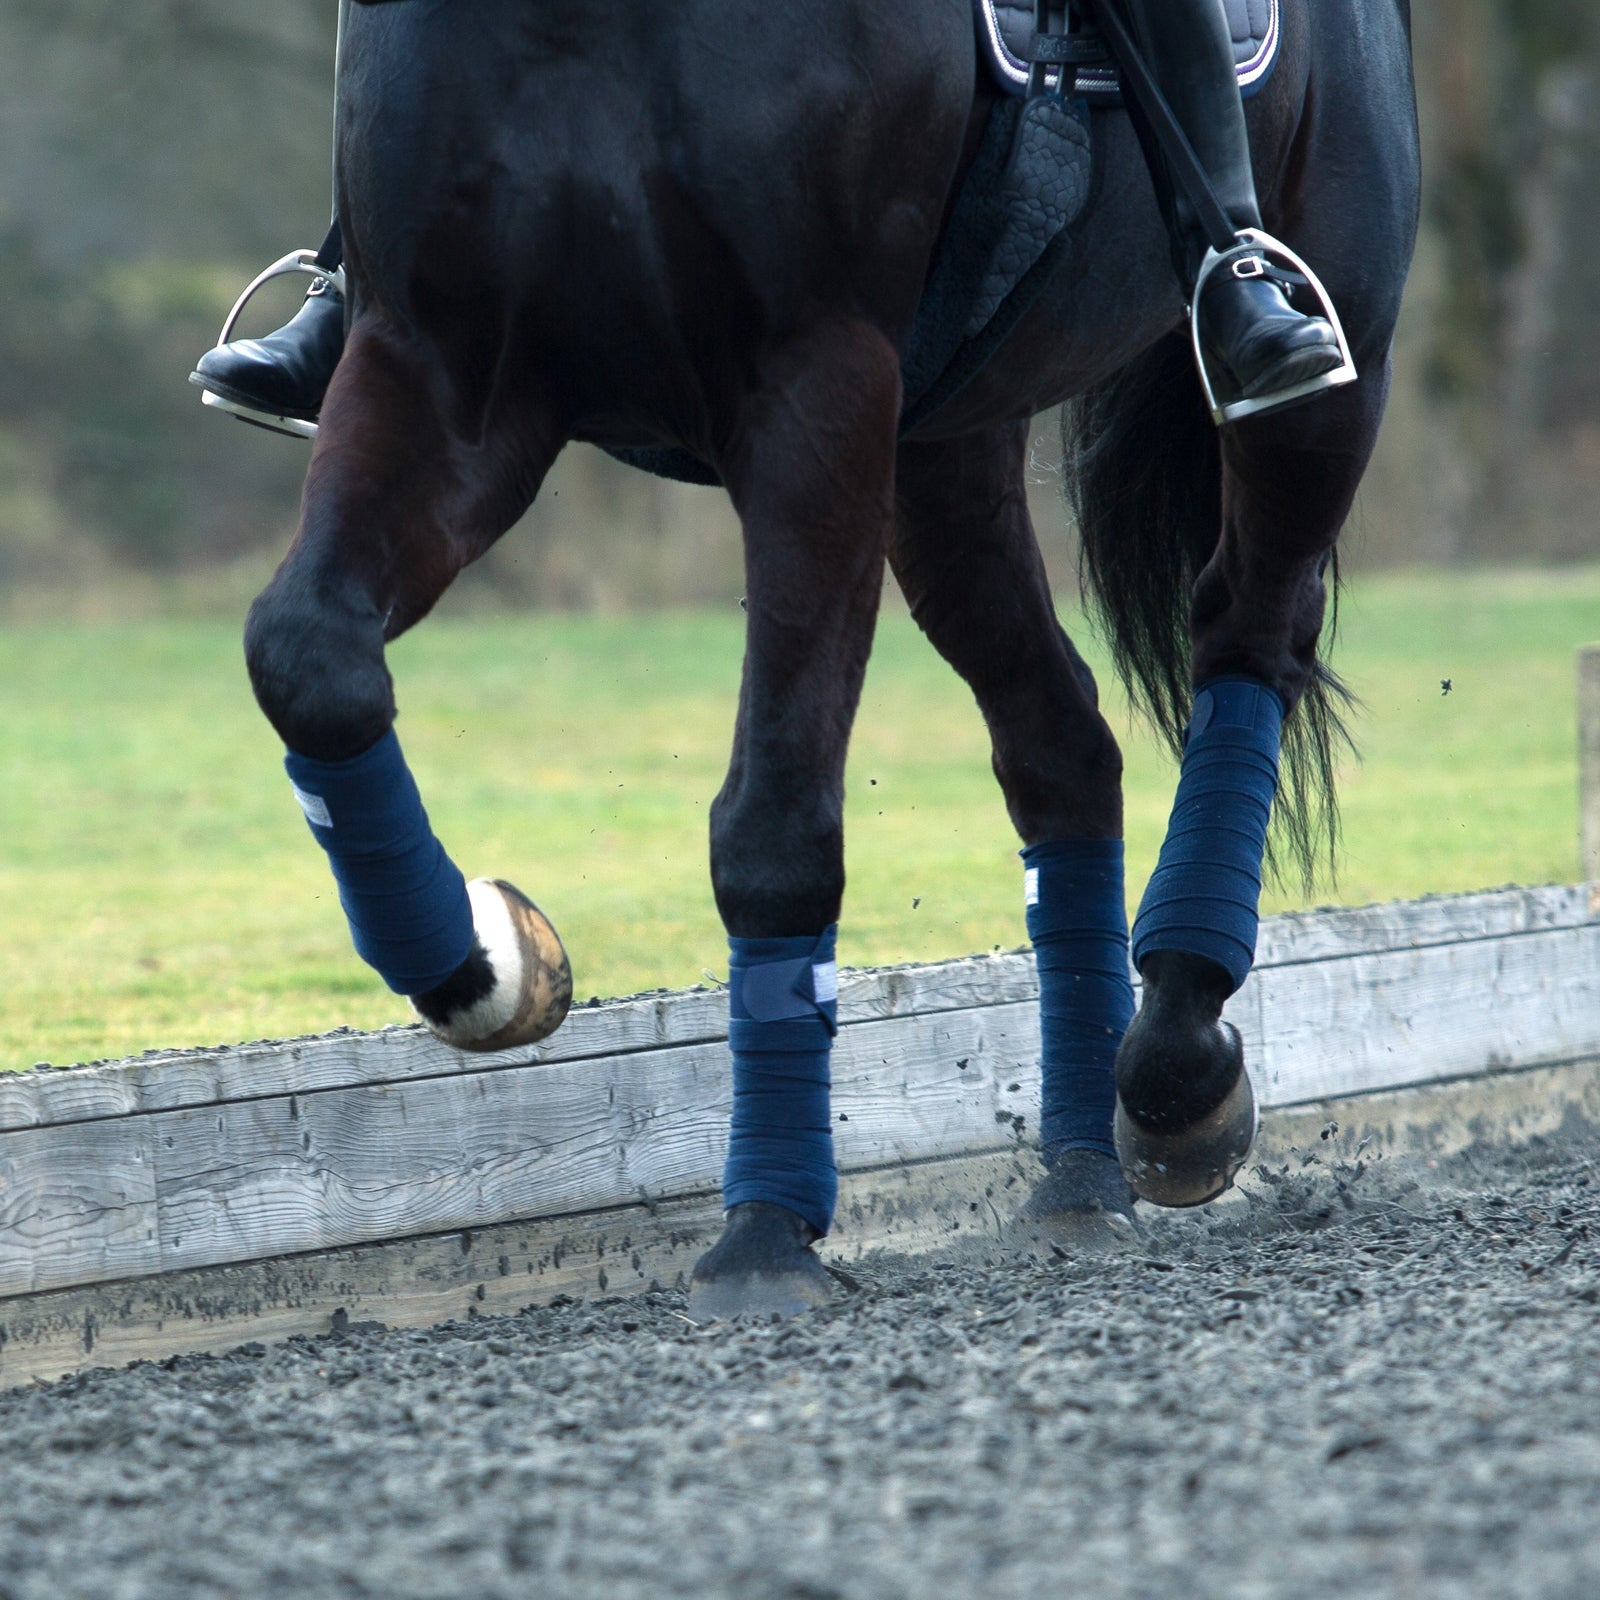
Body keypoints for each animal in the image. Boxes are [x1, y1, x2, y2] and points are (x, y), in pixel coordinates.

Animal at [240, 0, 1420, 1317]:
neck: (576, 26)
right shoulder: (438, 372)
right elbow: (309, 658)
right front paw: (488, 964)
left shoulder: (817, 391)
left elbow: (773, 826)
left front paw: (765, 1228)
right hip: (945, 447)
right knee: (1063, 747)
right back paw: (1077, 1174)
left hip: (1324, 383)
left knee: (1246, 637)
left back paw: (1174, 1064)